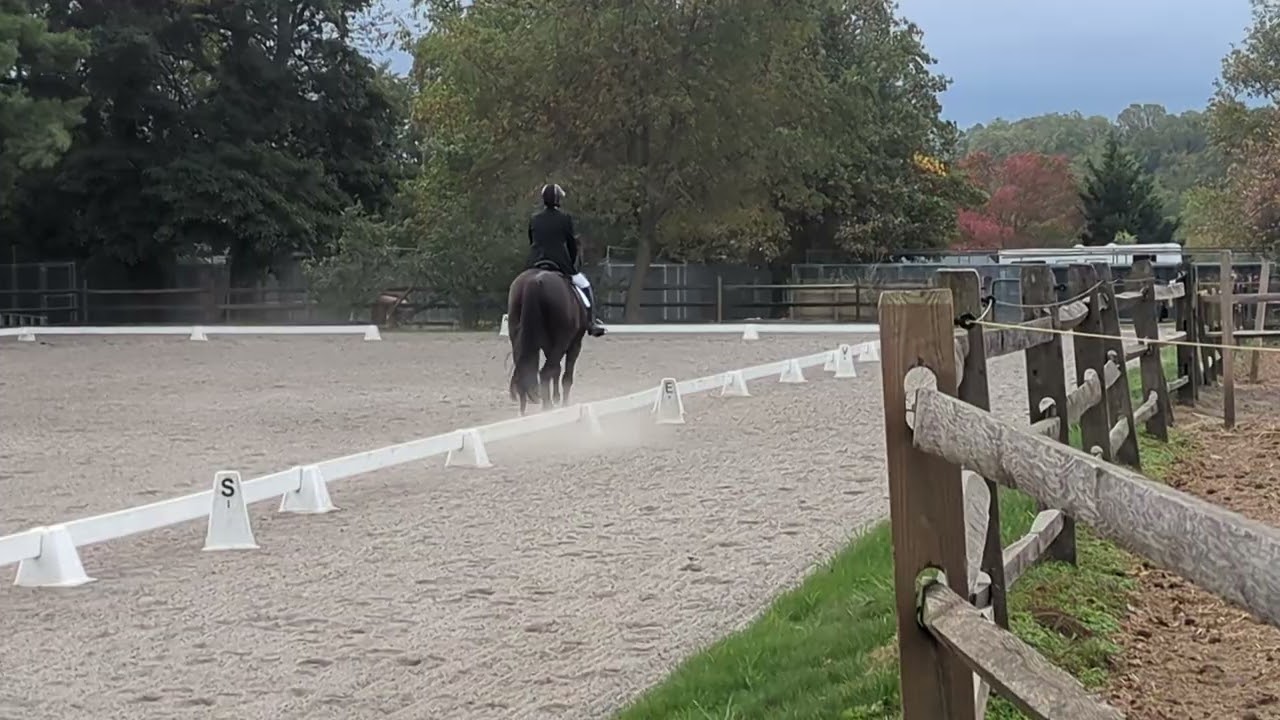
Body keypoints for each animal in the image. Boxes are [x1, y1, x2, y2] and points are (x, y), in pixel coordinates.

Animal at [506, 263, 589, 414]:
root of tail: (535, 282)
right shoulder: (575, 344)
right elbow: (566, 376)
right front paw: (564, 404)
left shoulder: (548, 345)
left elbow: (556, 369)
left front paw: (556, 398)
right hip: (563, 342)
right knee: (545, 372)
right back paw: (547, 407)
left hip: (519, 339)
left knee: (527, 371)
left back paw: (524, 410)